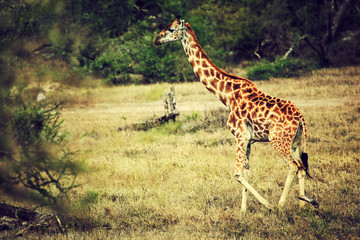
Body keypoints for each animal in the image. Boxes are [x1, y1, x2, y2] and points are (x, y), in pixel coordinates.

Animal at [153, 17, 320, 211]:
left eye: (171, 29)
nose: (156, 40)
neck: (225, 95)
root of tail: (301, 118)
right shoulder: (248, 140)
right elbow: (246, 172)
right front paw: (243, 211)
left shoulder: (240, 136)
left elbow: (237, 174)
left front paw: (266, 205)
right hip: (294, 141)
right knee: (301, 166)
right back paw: (304, 202)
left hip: (277, 140)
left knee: (293, 166)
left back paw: (281, 204)